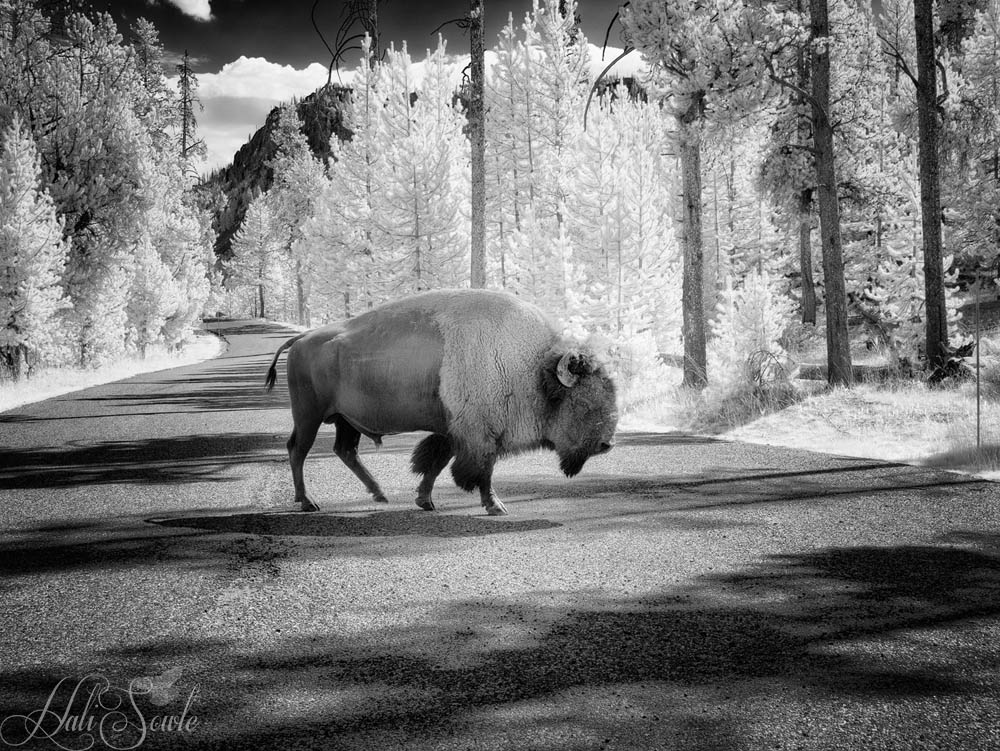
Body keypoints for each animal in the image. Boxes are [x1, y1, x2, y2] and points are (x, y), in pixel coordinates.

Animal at [264, 289, 618, 515]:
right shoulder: (478, 435)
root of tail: (302, 338)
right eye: (583, 403)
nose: (606, 444)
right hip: (309, 417)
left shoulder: (453, 429)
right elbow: (481, 470)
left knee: (345, 451)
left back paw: (380, 494)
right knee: (297, 450)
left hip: (345, 419)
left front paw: (425, 501)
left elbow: (435, 462)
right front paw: (496, 506)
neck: (531, 366)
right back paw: (308, 502)